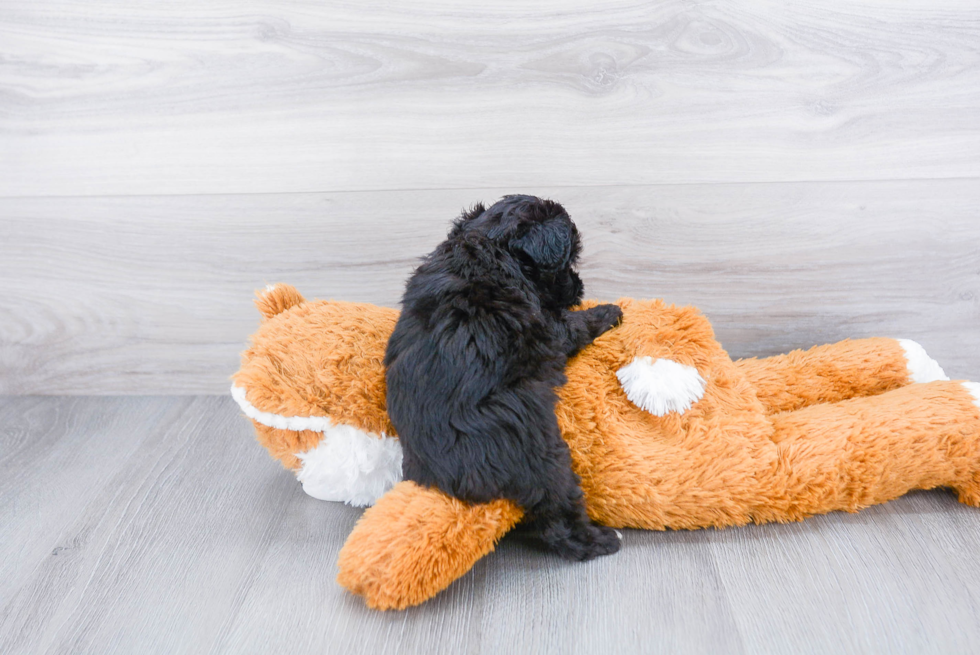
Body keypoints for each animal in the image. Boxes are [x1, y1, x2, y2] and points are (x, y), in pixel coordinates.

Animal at [382, 196, 620, 564]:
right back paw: (601, 540)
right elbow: (574, 325)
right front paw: (608, 312)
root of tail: (452, 481)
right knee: (557, 514)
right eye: (569, 261)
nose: (579, 286)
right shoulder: (551, 329)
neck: (488, 247)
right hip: (542, 456)